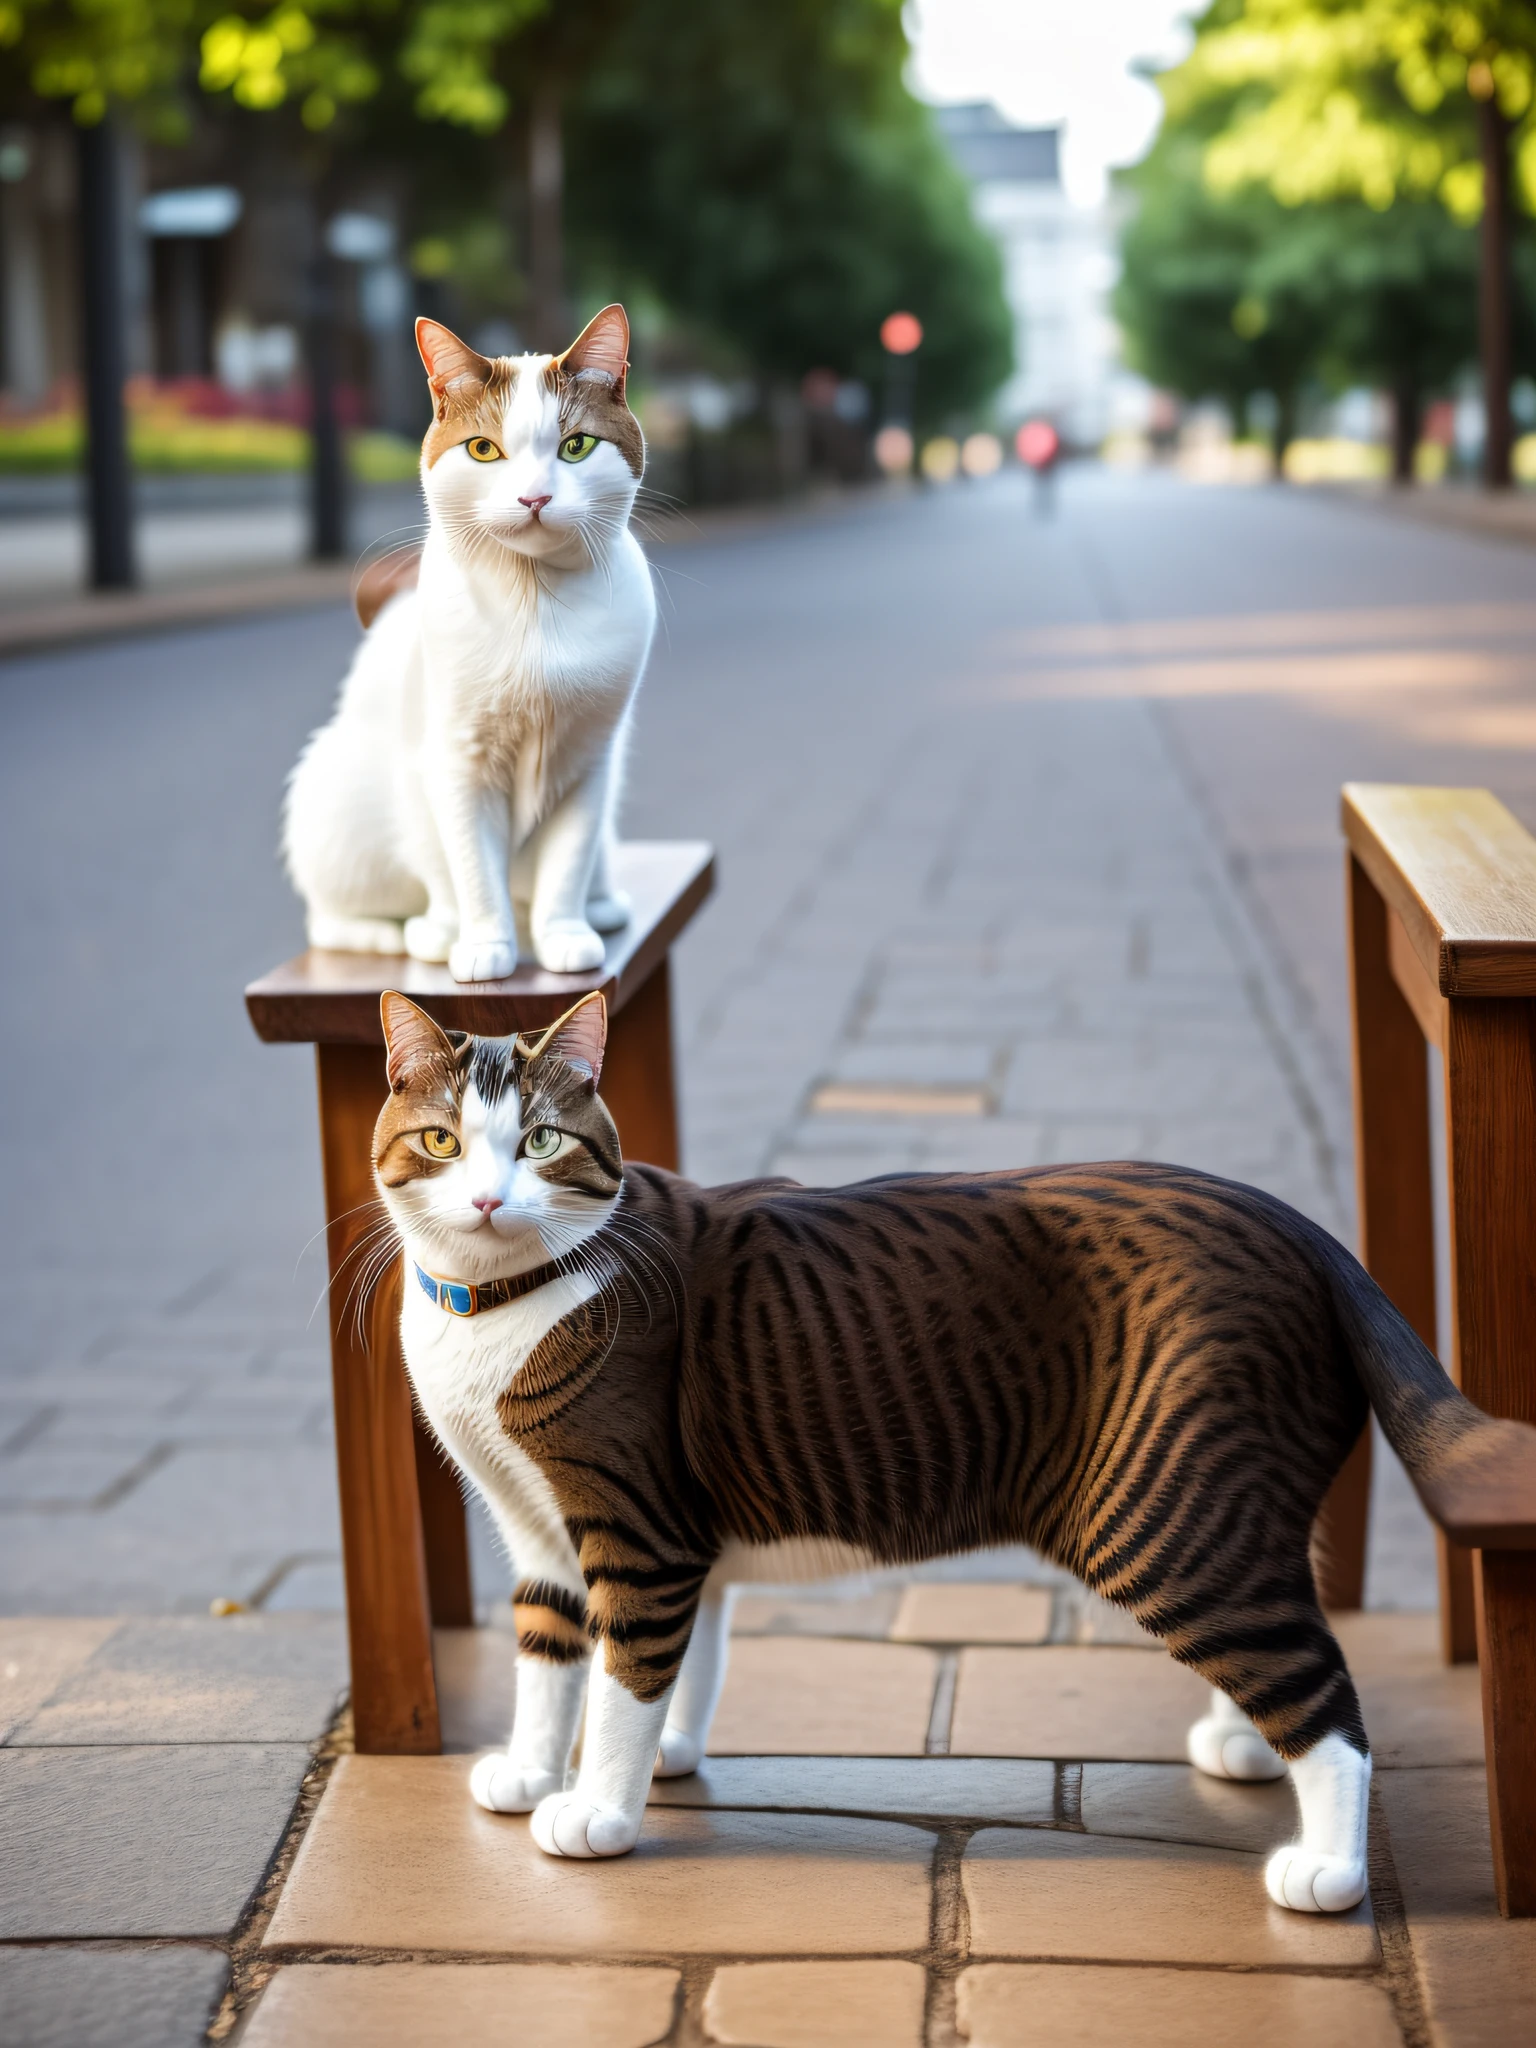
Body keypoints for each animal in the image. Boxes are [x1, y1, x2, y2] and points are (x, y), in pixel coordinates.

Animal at [282, 299, 655, 991]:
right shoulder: (459, 761)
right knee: (335, 917)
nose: (534, 497)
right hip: (335, 799)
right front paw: (485, 948)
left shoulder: (590, 761)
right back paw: (422, 933)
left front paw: (565, 937)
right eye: (484, 449)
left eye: (576, 446)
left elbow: (568, 861)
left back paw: (598, 907)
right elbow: (474, 869)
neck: (535, 607)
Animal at [364, 983, 1536, 1908]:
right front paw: (543, 1768)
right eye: (442, 1141)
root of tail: (1304, 1227)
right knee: (1293, 1621)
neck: (490, 1308)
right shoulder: (542, 1533)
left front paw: (600, 1807)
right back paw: (1244, 1743)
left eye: (542, 1142)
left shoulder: (637, 1529)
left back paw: (1328, 1871)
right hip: (1240, 1502)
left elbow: (623, 1677)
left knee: (1327, 1691)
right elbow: (558, 1656)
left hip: (1164, 1514)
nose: (487, 1196)